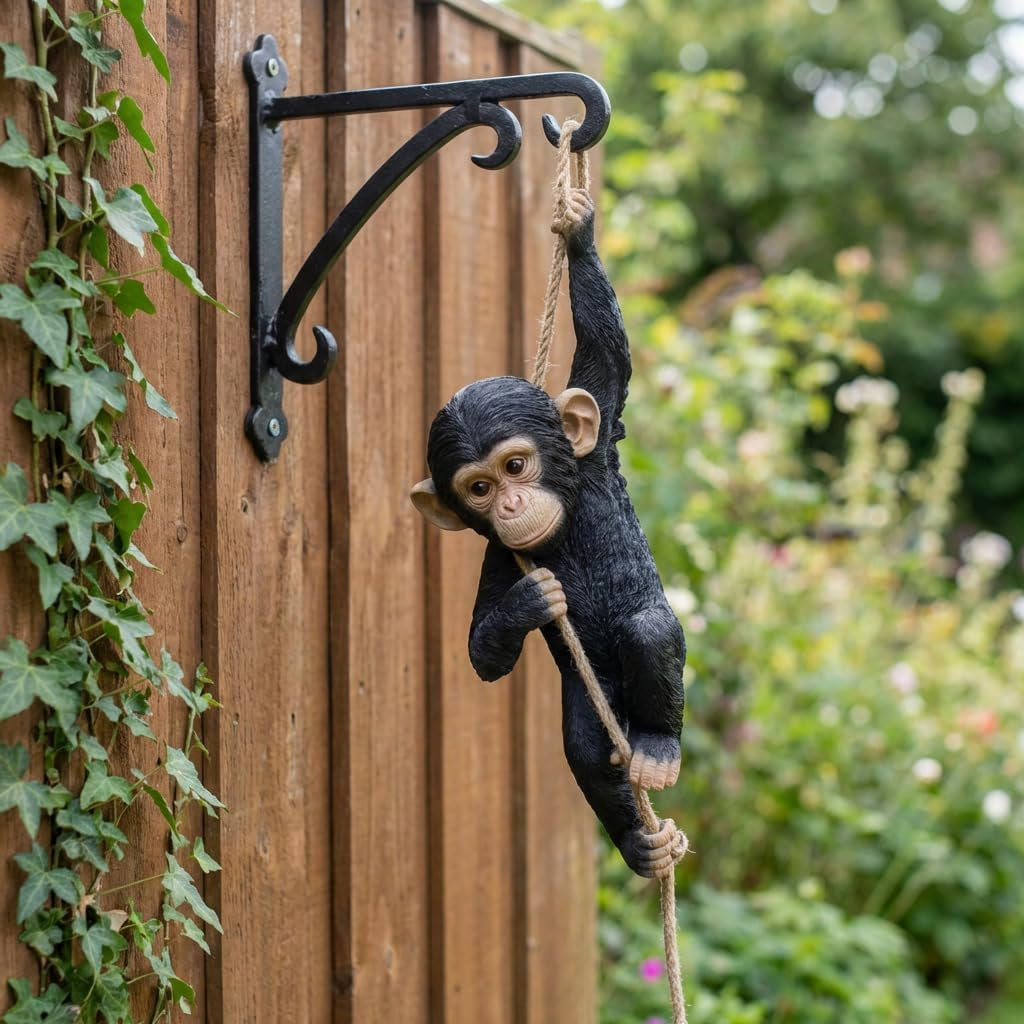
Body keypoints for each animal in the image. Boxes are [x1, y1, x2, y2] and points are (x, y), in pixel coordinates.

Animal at [411, 190, 685, 879]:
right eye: (479, 488)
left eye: (515, 465)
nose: (510, 501)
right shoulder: (498, 555)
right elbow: (480, 653)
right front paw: (531, 603)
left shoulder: (599, 442)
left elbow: (608, 360)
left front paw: (580, 232)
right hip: (593, 700)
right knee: (584, 747)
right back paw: (640, 843)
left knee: (650, 629)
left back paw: (659, 750)